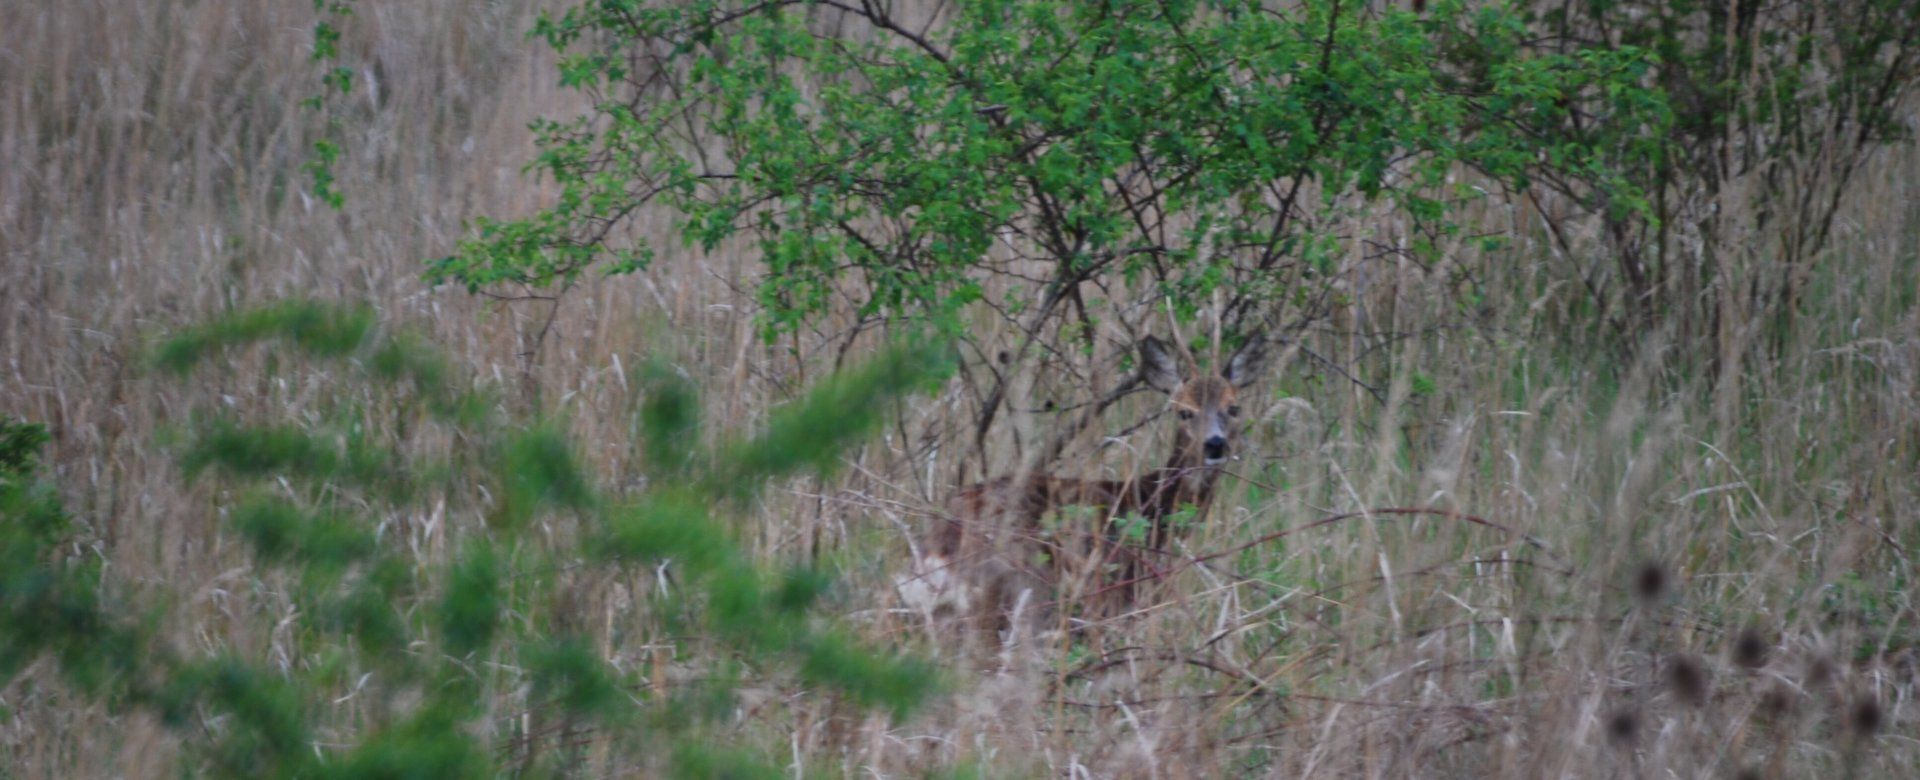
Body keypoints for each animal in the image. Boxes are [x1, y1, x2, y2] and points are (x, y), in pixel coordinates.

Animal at [900, 333, 1273, 640]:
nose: (1215, 444)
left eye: (1233, 408)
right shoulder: (1116, 599)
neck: (1152, 507)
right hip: (1022, 590)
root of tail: (937, 545)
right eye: (1184, 412)